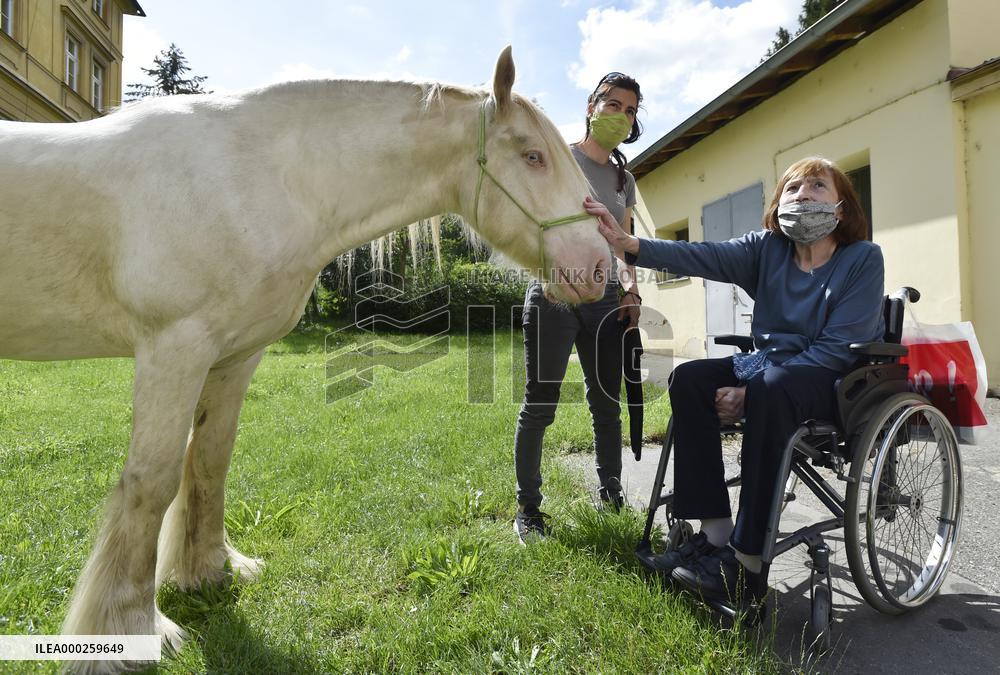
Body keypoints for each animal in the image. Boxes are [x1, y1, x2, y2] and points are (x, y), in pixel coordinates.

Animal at [0, 46, 610, 672]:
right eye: (533, 156)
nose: (599, 266)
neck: (254, 174)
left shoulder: (233, 357)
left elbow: (209, 462)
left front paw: (209, 572)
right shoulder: (174, 349)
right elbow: (151, 482)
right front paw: (129, 630)